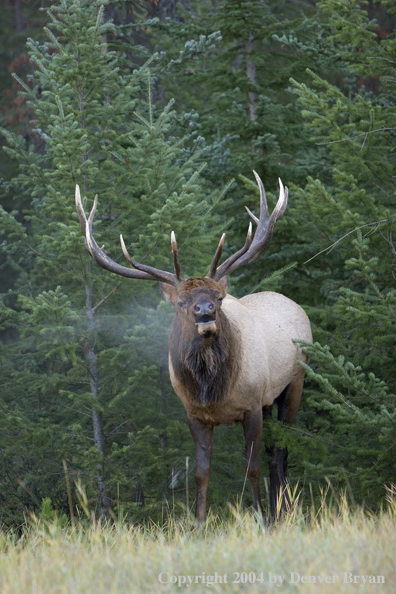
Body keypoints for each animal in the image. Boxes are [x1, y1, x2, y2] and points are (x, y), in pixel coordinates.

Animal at [76, 170, 310, 520]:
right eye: (182, 302)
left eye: (219, 297)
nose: (205, 312)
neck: (212, 391)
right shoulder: (194, 414)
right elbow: (201, 472)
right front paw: (198, 523)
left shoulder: (252, 405)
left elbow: (252, 467)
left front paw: (259, 519)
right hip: (271, 397)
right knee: (275, 452)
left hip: (295, 381)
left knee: (279, 453)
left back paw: (282, 513)